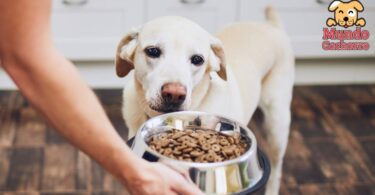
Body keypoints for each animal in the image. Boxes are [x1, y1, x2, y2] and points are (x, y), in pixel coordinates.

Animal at [116, 6, 296, 195]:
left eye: (197, 59)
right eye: (152, 51)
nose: (174, 94)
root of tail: (272, 26)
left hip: (277, 124)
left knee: (276, 169)